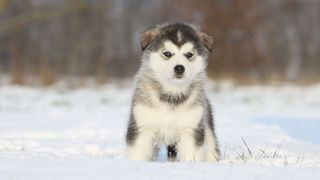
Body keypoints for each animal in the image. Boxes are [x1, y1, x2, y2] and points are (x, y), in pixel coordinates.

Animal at [126, 22, 219, 162]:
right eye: (167, 53)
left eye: (189, 54)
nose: (179, 68)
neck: (172, 93)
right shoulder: (143, 126)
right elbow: (138, 154)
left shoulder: (190, 129)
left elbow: (190, 155)